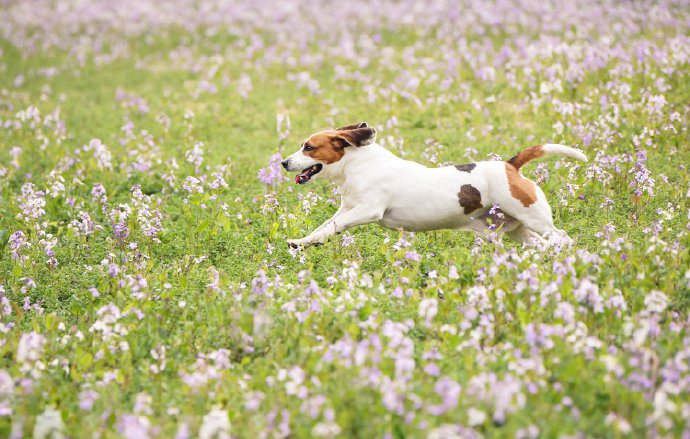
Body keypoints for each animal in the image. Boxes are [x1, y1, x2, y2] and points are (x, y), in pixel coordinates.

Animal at [280, 122, 584, 249]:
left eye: (309, 147)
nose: (283, 162)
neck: (358, 164)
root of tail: (510, 166)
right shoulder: (347, 208)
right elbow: (324, 226)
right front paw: (303, 242)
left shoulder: (367, 210)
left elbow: (334, 227)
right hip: (509, 229)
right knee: (539, 244)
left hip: (533, 217)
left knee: (562, 238)